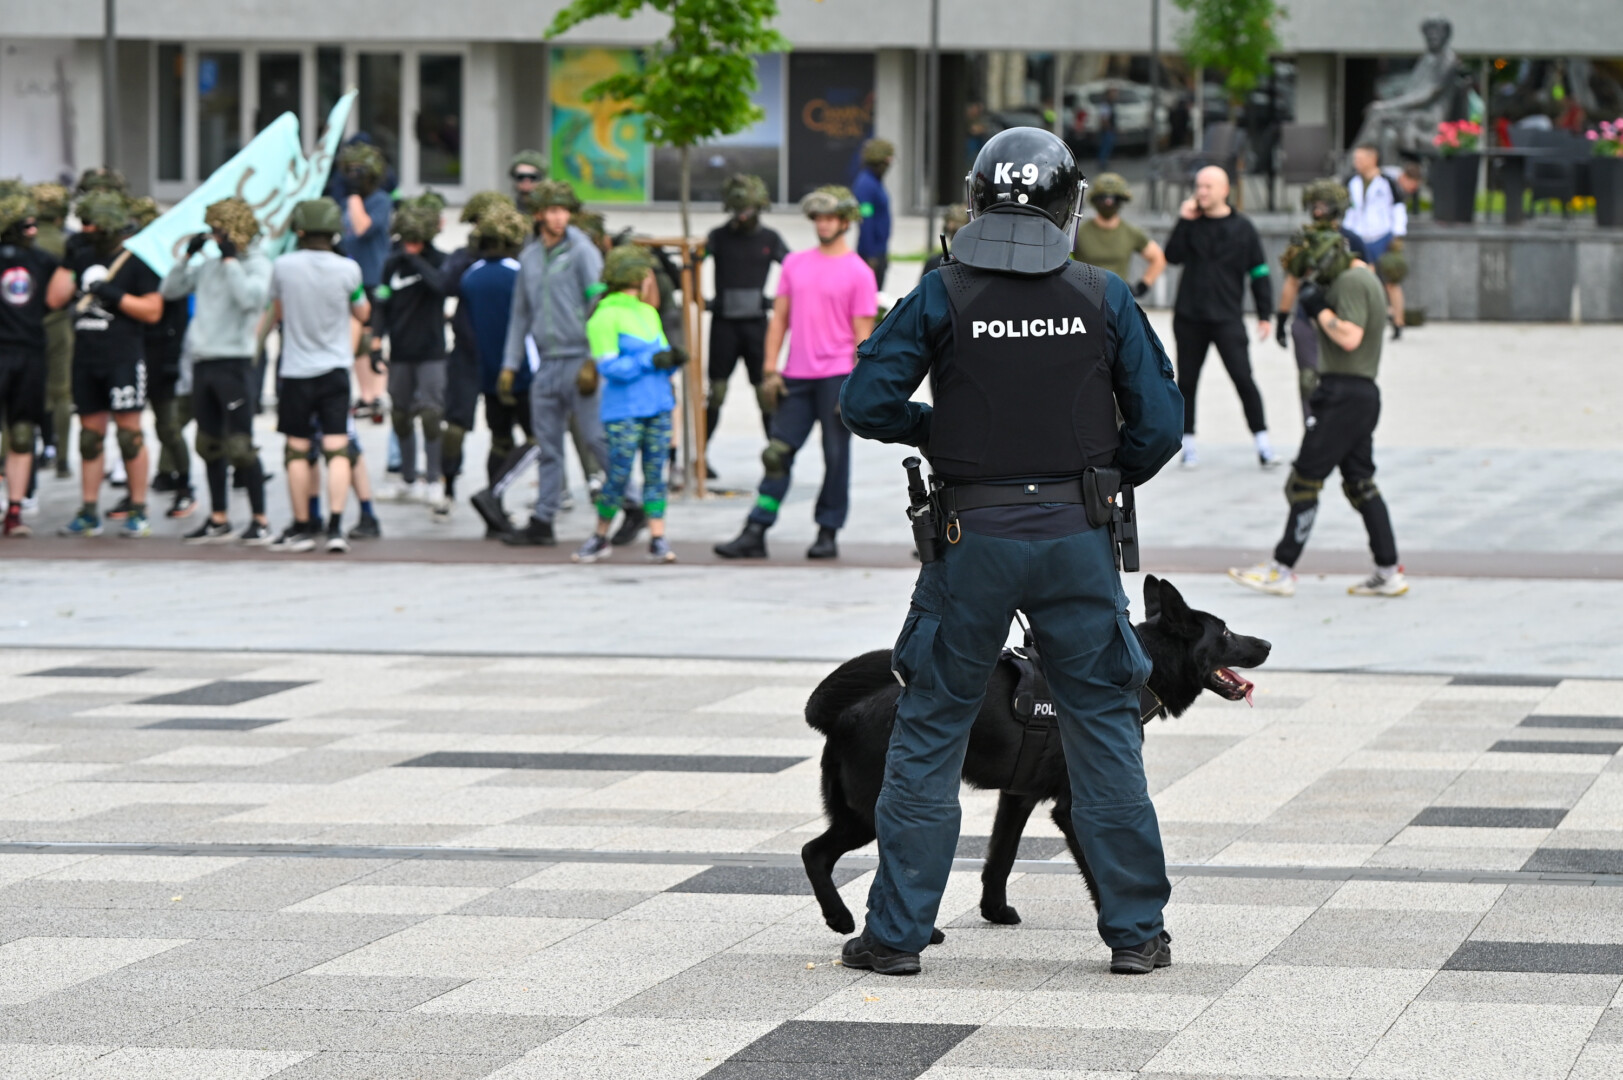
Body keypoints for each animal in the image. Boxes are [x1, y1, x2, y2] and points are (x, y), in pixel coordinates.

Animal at [801, 575, 1271, 936]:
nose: (1266, 643)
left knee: (816, 852)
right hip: (872, 813)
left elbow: (1000, 857)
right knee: (826, 854)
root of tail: (841, 714)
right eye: (1225, 633)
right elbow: (1102, 870)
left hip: (859, 813)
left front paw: (995, 911)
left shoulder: (1017, 797)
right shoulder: (1075, 806)